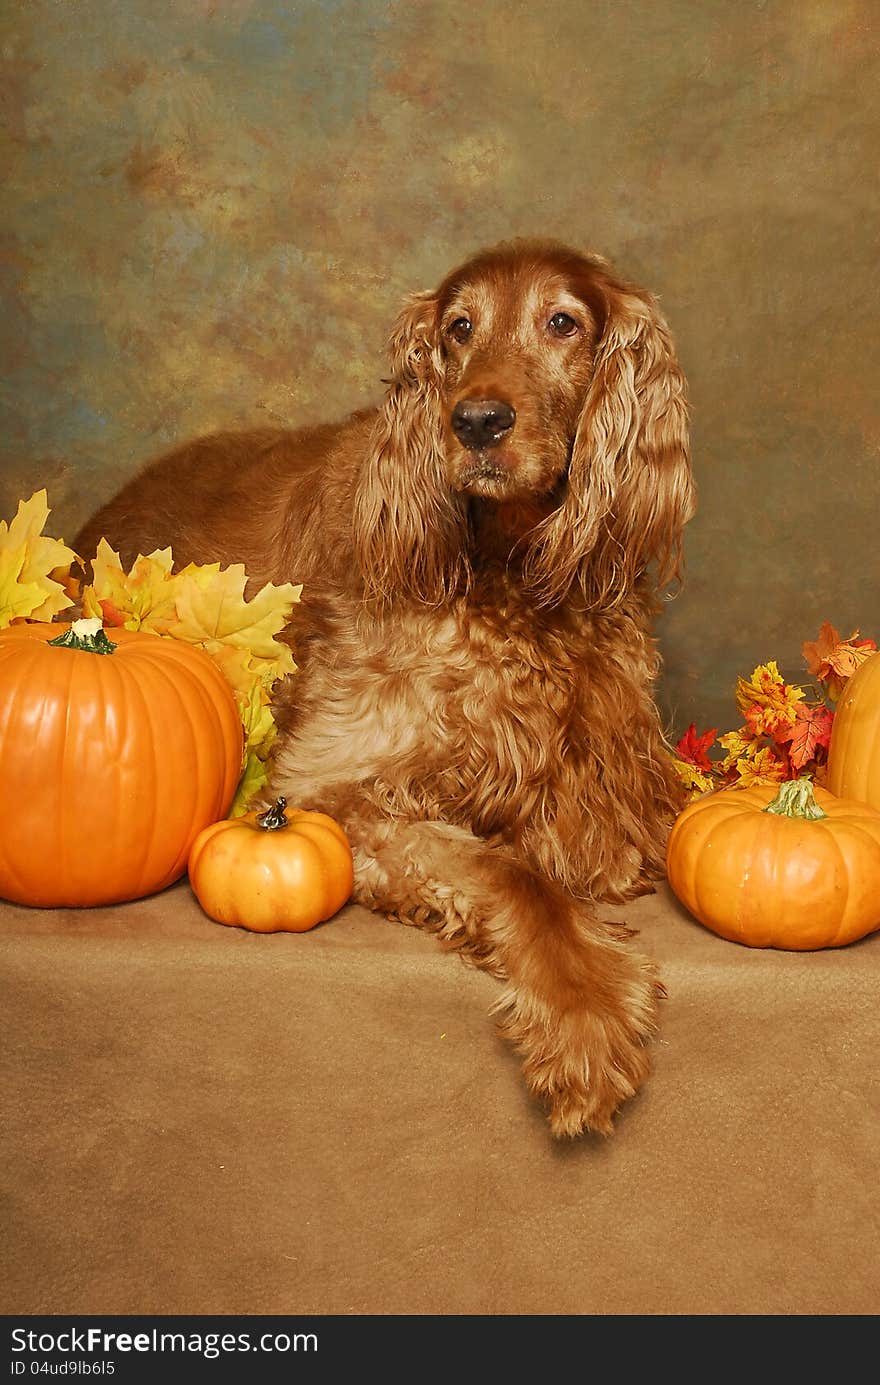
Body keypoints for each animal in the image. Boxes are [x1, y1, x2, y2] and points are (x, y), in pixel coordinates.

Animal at [74, 238, 695, 1135]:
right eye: (459, 327)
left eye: (563, 323)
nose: (477, 421)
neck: (509, 575)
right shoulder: (321, 787)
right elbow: (515, 874)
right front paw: (584, 1011)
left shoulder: (621, 790)